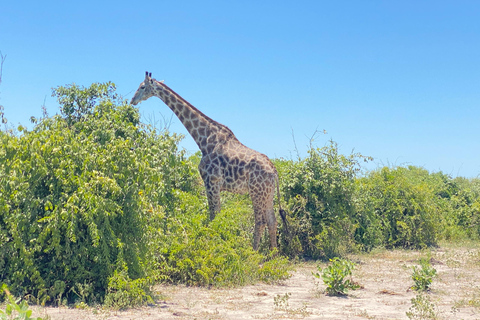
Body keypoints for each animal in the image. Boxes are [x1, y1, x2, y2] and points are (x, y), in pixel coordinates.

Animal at [131, 72, 286, 250]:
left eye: (142, 87)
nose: (132, 100)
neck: (204, 140)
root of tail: (274, 172)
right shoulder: (214, 185)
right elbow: (216, 215)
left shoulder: (211, 182)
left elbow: (213, 215)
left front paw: (214, 243)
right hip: (268, 193)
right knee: (272, 220)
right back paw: (273, 253)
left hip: (256, 192)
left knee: (260, 221)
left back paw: (255, 252)